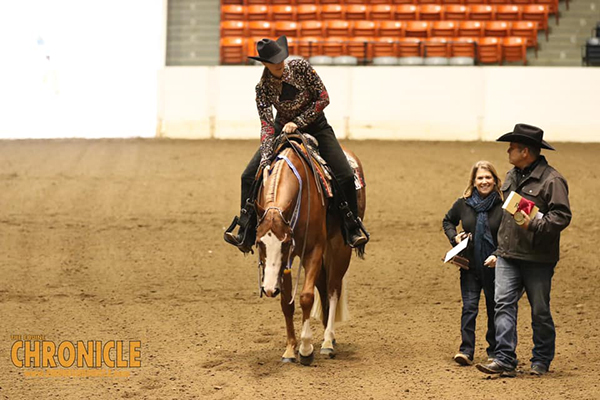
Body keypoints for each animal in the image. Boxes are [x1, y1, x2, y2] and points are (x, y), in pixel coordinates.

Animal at [252, 137, 366, 366]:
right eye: (259, 242)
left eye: (285, 242)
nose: (268, 289)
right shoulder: (286, 261)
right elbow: (287, 302)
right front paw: (290, 350)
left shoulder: (312, 250)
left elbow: (305, 296)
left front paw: (305, 349)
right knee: (322, 286)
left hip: (339, 247)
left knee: (332, 289)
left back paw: (328, 341)